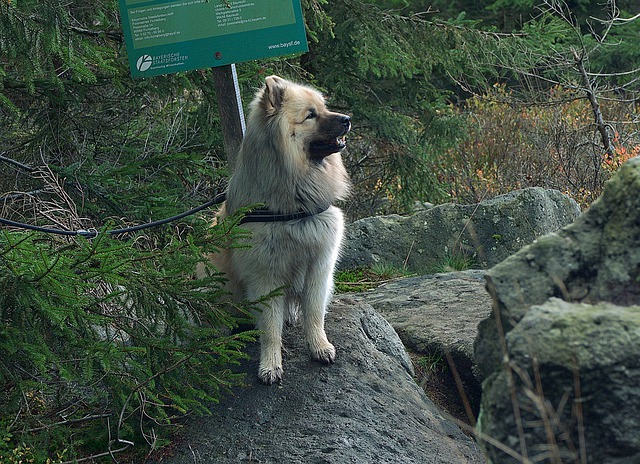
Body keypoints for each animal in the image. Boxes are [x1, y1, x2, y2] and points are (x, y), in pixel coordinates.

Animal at [210, 74, 350, 382]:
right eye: (311, 115)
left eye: (325, 107)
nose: (348, 118)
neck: (293, 207)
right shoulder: (265, 275)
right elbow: (270, 328)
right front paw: (270, 364)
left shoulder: (318, 266)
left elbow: (313, 313)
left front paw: (319, 346)